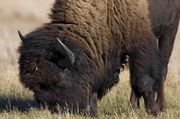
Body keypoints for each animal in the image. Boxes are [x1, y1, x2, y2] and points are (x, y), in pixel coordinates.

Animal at [17, 0, 168, 116]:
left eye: (58, 82)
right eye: (34, 88)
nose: (52, 110)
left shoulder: (140, 44)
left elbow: (143, 81)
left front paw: (153, 111)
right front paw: (93, 112)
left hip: (167, 33)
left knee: (162, 69)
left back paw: (159, 107)